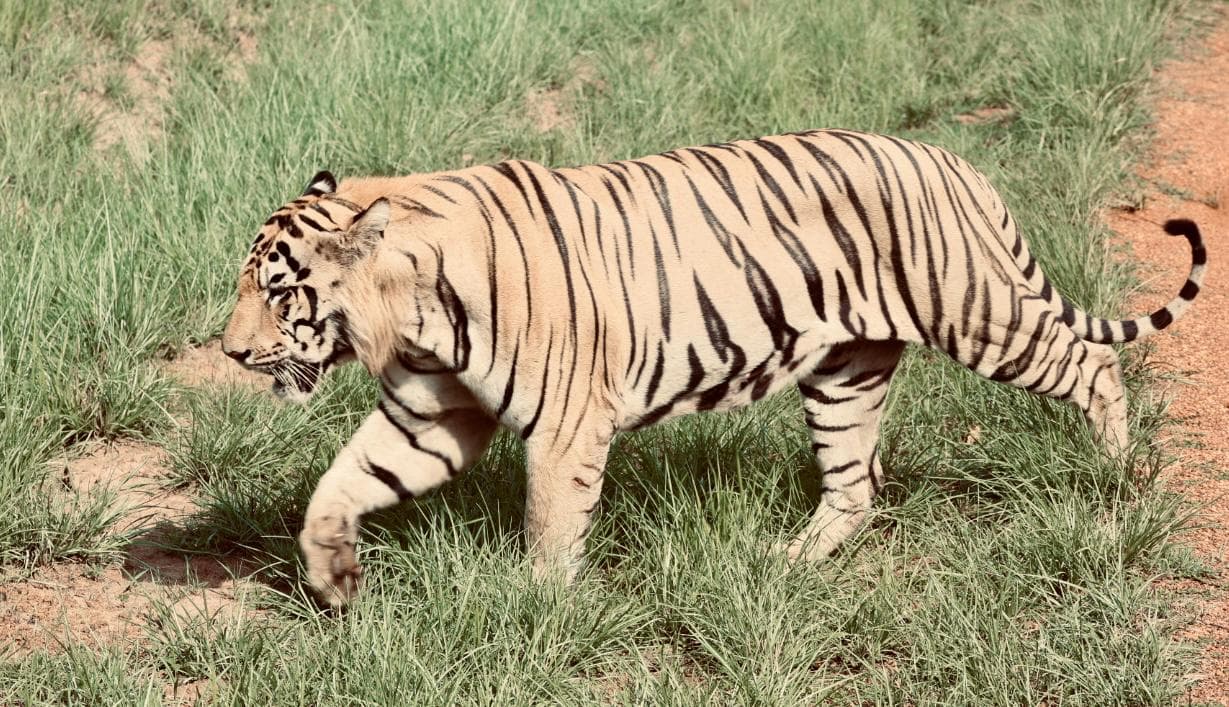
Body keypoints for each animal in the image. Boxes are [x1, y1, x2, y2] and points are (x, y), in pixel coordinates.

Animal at [221, 129, 1206, 607]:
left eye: (278, 290)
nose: (230, 352)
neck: (414, 310)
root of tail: (947, 157)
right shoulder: (432, 415)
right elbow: (340, 485)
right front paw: (334, 580)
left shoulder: (565, 424)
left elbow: (548, 526)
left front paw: (537, 609)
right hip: (845, 370)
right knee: (854, 485)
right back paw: (787, 562)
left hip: (975, 312)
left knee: (1089, 361)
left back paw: (1114, 473)